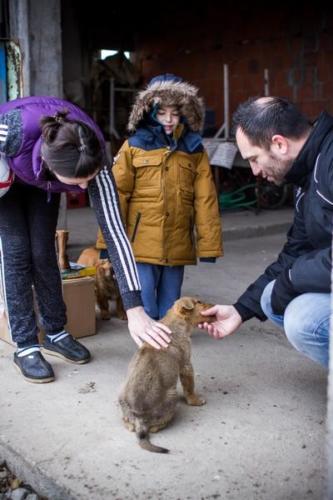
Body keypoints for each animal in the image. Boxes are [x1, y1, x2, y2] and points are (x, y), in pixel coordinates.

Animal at [118, 296, 214, 454]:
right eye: (199, 302)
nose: (215, 306)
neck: (174, 322)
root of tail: (140, 419)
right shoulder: (186, 366)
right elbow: (190, 388)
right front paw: (196, 400)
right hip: (171, 397)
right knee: (155, 427)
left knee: (128, 424)